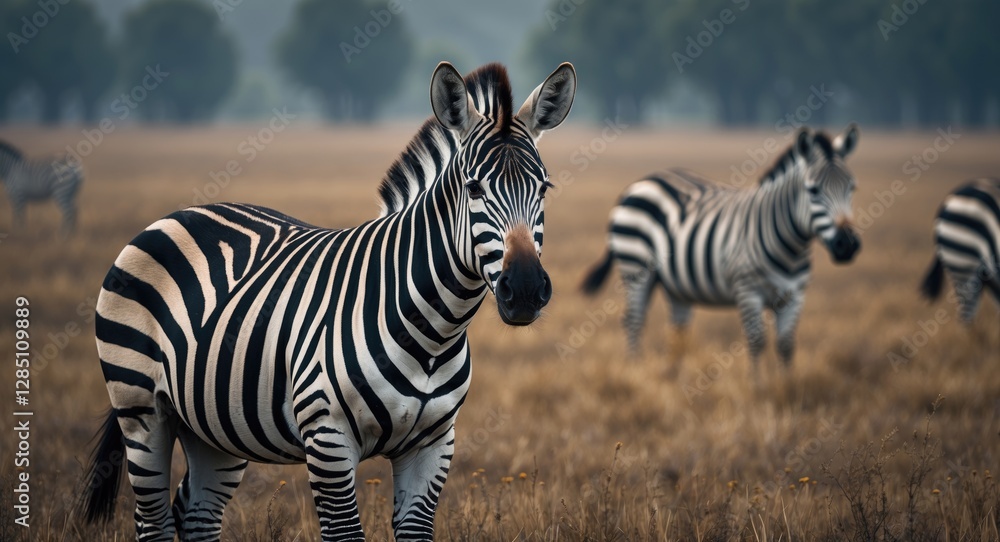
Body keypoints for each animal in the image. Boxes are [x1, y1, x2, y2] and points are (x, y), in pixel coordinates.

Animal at [79, 61, 576, 541]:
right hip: (141, 409)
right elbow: (345, 533)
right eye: (474, 188)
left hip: (213, 424)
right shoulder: (328, 439)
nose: (525, 289)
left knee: (196, 514)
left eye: (544, 189)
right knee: (154, 520)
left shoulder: (433, 444)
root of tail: (176, 215)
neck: (433, 334)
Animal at [581, 125, 861, 370]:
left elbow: (786, 346)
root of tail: (642, 182)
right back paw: (635, 369)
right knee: (634, 321)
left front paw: (787, 389)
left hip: (675, 282)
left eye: (852, 187)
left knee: (678, 330)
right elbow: (757, 342)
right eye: (813, 190)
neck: (790, 249)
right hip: (635, 268)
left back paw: (674, 376)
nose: (847, 245)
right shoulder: (748, 290)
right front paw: (759, 390)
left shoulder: (795, 295)